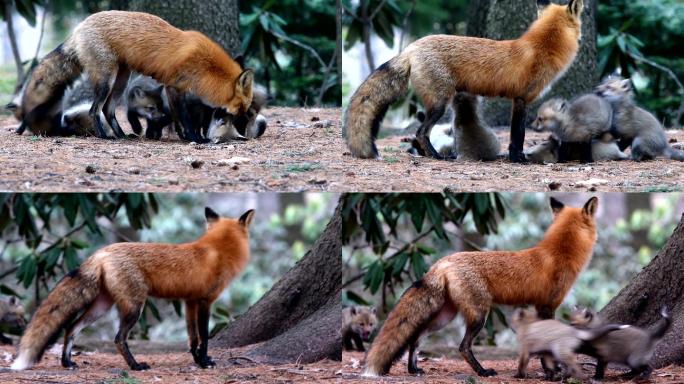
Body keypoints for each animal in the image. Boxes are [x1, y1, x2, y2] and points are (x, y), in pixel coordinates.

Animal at [10, 208, 254, 370]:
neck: (218, 249)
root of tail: (102, 252)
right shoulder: (204, 301)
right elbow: (204, 336)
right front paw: (204, 361)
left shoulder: (189, 302)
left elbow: (192, 337)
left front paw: (196, 359)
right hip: (135, 307)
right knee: (118, 338)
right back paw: (135, 366)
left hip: (101, 307)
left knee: (71, 328)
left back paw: (67, 362)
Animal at [20, 11, 254, 142]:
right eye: (242, 107)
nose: (246, 130)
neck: (205, 66)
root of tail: (79, 26)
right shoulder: (173, 87)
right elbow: (184, 117)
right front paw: (195, 138)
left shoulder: (176, 91)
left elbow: (178, 117)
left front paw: (186, 136)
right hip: (107, 79)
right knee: (95, 109)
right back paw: (105, 137)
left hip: (122, 79)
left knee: (108, 109)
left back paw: (123, 135)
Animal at [344, 0, 584, 162]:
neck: (542, 47)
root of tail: (411, 47)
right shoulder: (521, 99)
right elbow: (518, 135)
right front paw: (519, 159)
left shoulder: (517, 100)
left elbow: (515, 136)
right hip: (440, 104)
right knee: (421, 132)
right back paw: (436, 156)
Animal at [364, 196, 600, 376]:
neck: (560, 252)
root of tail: (442, 262)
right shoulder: (546, 306)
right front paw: (552, 371)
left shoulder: (539, 307)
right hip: (479, 315)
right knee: (463, 347)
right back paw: (482, 371)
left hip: (444, 317)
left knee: (415, 339)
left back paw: (413, 370)